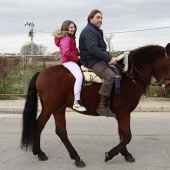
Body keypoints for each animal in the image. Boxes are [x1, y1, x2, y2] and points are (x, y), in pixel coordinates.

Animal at [20, 44, 170, 167]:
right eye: (169, 61)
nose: (167, 84)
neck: (128, 75)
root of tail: (41, 72)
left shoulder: (121, 114)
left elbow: (122, 134)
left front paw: (126, 154)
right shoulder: (124, 112)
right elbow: (127, 136)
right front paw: (110, 154)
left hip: (48, 108)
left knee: (39, 125)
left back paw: (39, 152)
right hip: (58, 110)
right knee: (61, 132)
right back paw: (76, 158)